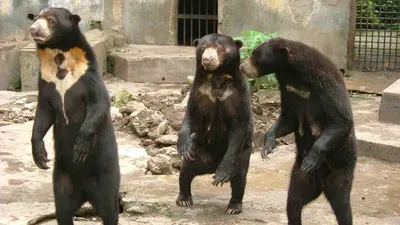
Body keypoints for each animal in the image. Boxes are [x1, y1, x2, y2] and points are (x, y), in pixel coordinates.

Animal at [28, 7, 120, 225]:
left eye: (51, 20)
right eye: (36, 18)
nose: (33, 29)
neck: (59, 55)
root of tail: (86, 194)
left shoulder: (87, 74)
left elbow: (99, 103)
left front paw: (80, 147)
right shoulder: (46, 80)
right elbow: (43, 112)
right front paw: (40, 156)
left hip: (106, 174)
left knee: (110, 209)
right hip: (62, 178)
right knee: (62, 209)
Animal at [177, 33, 255, 214]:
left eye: (220, 49)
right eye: (203, 48)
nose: (207, 59)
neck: (216, 76)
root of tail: (211, 165)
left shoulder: (238, 94)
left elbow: (240, 124)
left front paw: (223, 174)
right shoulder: (198, 91)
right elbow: (192, 115)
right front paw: (183, 146)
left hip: (244, 153)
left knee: (239, 178)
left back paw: (233, 205)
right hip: (199, 151)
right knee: (185, 172)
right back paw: (183, 198)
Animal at [239, 37, 358, 225]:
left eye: (255, 55)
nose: (241, 67)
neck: (294, 73)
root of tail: (320, 185)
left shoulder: (326, 85)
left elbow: (340, 120)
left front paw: (311, 159)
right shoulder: (288, 89)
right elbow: (288, 119)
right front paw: (267, 146)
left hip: (340, 170)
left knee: (343, 205)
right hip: (300, 178)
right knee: (293, 202)